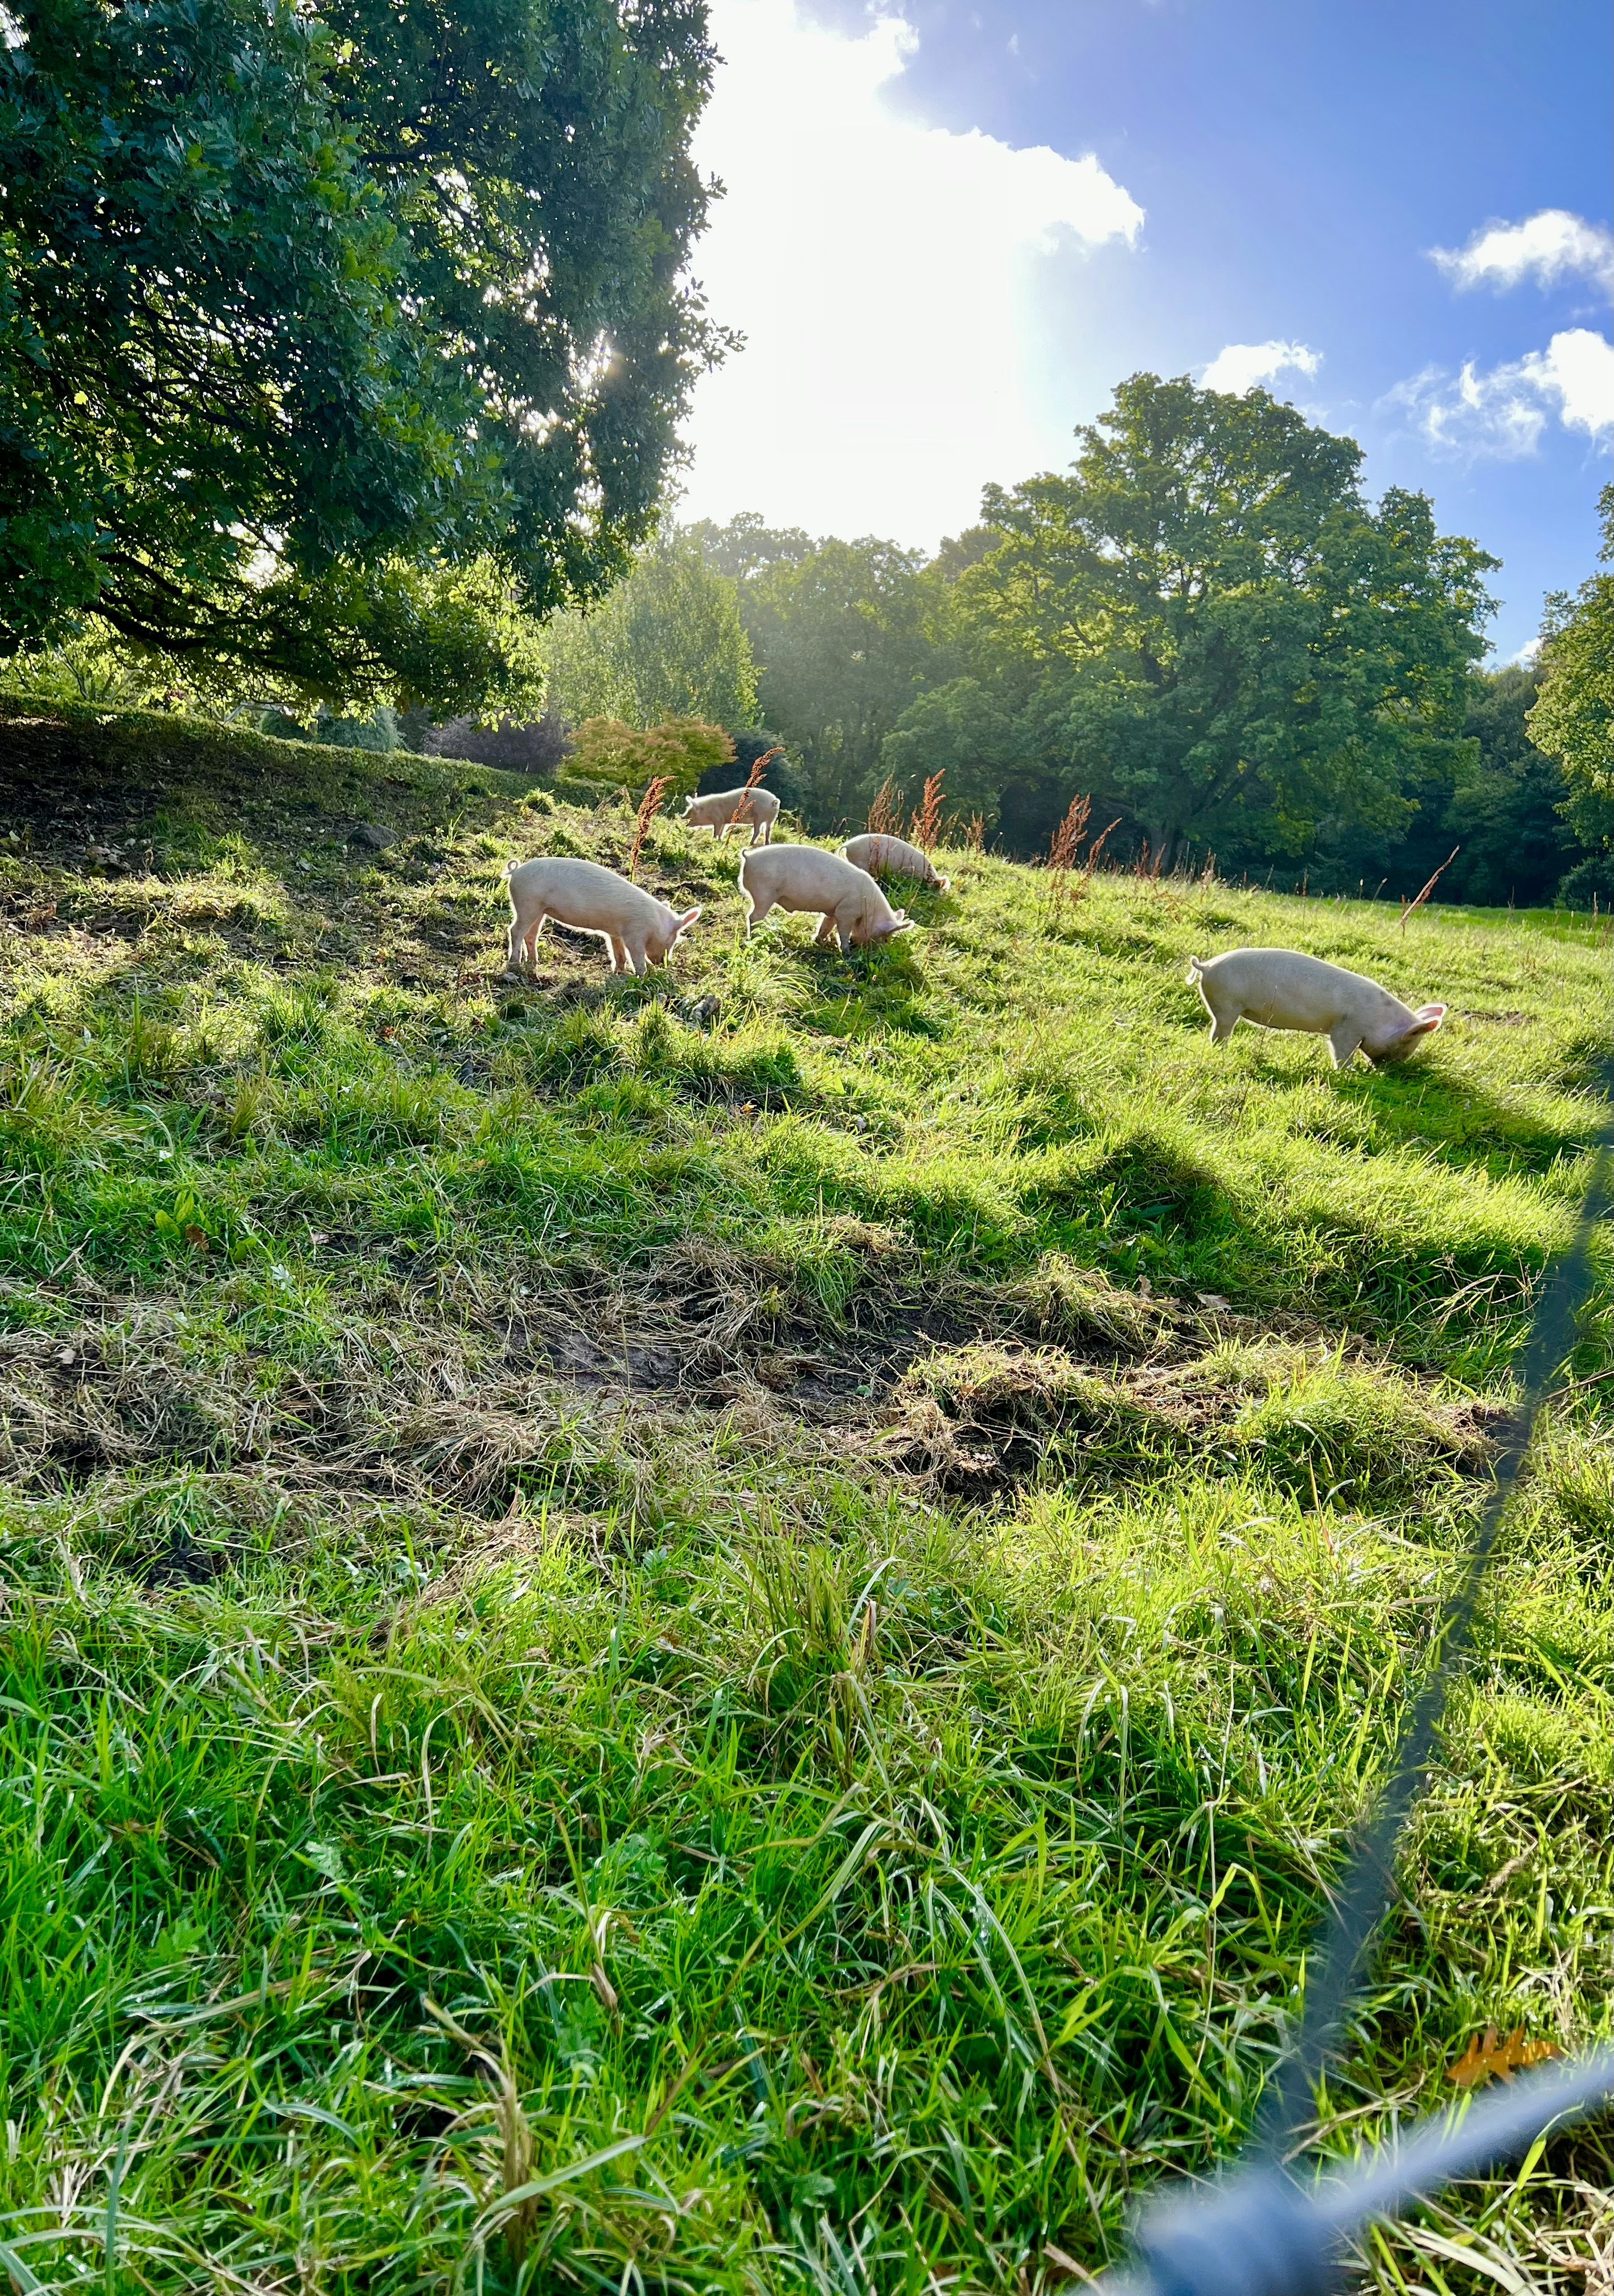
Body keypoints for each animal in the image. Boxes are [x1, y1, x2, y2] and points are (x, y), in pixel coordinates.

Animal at [504, 857, 700, 978]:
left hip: (540, 909)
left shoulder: (615, 933)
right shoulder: (635, 934)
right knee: (515, 931)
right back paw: (514, 963)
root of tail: (516, 872)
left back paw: (534, 962)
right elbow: (636, 957)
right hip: (527, 903)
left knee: (531, 935)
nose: (662, 963)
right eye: (674, 939)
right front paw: (642, 976)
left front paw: (620, 973)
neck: (655, 925)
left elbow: (618, 953)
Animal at [681, 785, 781, 847]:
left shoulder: (718, 819)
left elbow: (716, 831)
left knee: (758, 831)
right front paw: (719, 840)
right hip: (772, 819)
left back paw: (751, 843)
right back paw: (767, 844)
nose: (682, 817)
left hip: (759, 816)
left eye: (691, 811)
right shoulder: (724, 822)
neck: (708, 811)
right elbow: (721, 832)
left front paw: (714, 839)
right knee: (768, 830)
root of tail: (774, 801)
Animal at [739, 844, 912, 953]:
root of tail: (749, 858)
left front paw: (819, 941)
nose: (881, 954)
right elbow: (843, 933)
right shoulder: (846, 911)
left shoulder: (834, 911)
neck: (868, 908)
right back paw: (754, 937)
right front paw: (846, 952)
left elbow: (826, 926)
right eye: (886, 938)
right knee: (753, 917)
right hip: (764, 894)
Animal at [1186, 948, 1446, 1067]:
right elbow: (1341, 1050)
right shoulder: (1347, 1028)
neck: (1379, 1019)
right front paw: (1348, 1072)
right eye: (1404, 1046)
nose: (1387, 1072)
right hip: (1227, 1004)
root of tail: (1207, 966)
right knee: (1219, 1033)